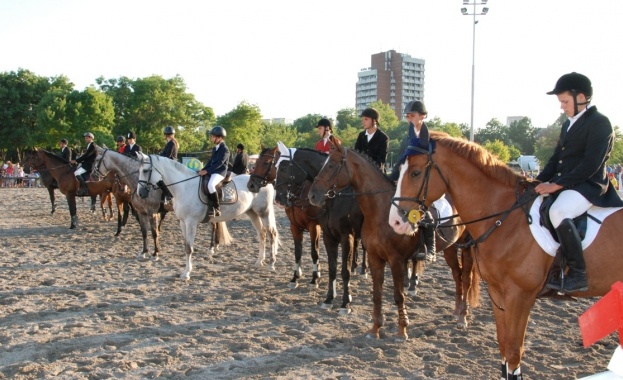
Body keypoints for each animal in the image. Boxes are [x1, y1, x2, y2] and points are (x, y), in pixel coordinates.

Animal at [138, 151, 282, 280]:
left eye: (145, 170)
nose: (140, 194)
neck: (184, 187)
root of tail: (265, 182)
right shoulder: (183, 222)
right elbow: (186, 246)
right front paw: (186, 270)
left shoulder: (191, 222)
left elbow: (189, 248)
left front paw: (186, 274)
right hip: (252, 213)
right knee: (262, 234)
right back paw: (259, 261)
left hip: (264, 212)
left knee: (271, 234)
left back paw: (271, 264)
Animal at [272, 141, 366, 314]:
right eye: (274, 166)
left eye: (283, 168)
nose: (278, 199)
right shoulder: (297, 227)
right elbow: (300, 253)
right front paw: (295, 278)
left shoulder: (322, 229)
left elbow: (318, 254)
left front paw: (316, 280)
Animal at [310, 138, 480, 336]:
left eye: (331, 165)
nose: (312, 195)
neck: (380, 211)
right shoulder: (375, 257)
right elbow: (377, 294)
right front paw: (375, 329)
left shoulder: (395, 259)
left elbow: (399, 295)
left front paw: (402, 329)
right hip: (450, 248)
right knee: (457, 274)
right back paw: (457, 310)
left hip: (467, 246)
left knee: (466, 278)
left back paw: (463, 317)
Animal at [390, 127, 623, 378]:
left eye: (415, 172)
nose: (395, 222)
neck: (505, 219)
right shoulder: (498, 292)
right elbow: (503, 345)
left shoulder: (520, 296)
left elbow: (513, 350)